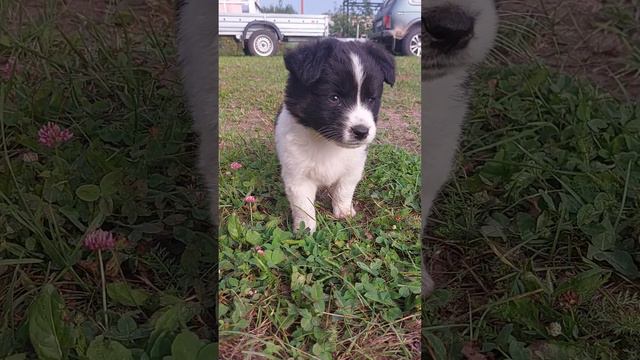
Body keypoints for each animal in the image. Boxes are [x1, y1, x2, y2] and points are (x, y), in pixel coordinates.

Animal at [276, 38, 396, 232]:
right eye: (334, 98)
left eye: (371, 99)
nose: (362, 131)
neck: (326, 143)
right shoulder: (297, 175)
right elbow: (303, 205)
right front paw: (305, 229)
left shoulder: (353, 167)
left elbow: (344, 189)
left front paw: (344, 212)